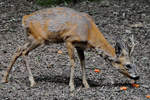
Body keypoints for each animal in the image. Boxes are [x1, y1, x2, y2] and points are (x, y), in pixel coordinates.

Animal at [1, 7, 139, 92]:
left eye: (134, 63)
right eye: (128, 65)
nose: (137, 77)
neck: (89, 33)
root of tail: (25, 18)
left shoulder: (80, 46)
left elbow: (83, 62)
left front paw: (86, 84)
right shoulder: (68, 40)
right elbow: (73, 62)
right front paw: (72, 86)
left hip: (31, 38)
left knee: (18, 49)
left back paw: (5, 78)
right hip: (37, 38)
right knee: (24, 52)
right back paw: (32, 81)